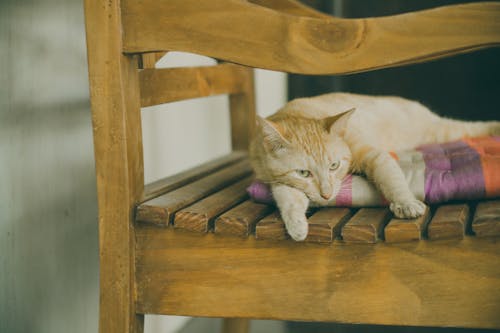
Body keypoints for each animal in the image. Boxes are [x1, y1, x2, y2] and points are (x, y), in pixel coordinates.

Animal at [250, 92, 500, 240]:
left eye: (334, 165)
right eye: (304, 173)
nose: (327, 195)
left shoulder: (374, 155)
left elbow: (390, 177)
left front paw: (406, 203)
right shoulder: (277, 180)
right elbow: (288, 198)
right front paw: (297, 225)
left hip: (439, 131)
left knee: (469, 128)